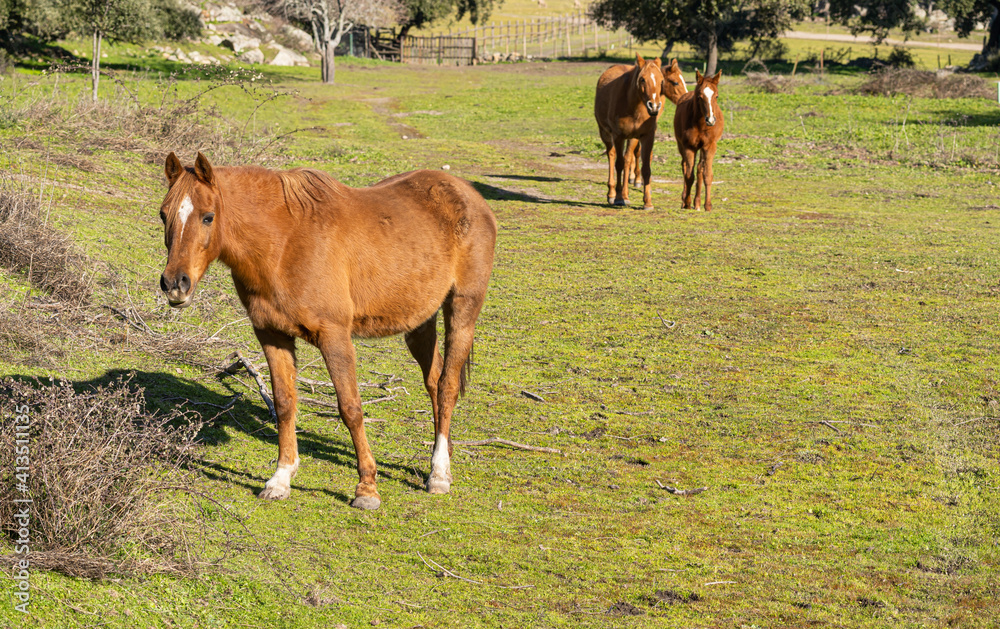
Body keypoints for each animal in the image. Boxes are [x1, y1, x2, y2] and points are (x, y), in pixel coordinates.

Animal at [158, 152, 498, 510]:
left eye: (208, 217)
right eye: (164, 214)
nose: (175, 284)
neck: (284, 243)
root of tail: (469, 195)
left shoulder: (335, 337)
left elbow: (350, 408)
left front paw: (367, 488)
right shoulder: (272, 335)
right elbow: (284, 404)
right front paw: (280, 479)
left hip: (462, 311)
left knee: (447, 386)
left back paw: (439, 474)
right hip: (419, 323)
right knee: (433, 382)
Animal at [592, 51, 664, 209]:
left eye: (662, 80)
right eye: (642, 79)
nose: (654, 107)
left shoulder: (646, 136)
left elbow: (645, 168)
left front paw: (647, 202)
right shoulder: (618, 136)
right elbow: (618, 165)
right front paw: (618, 198)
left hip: (632, 138)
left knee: (627, 159)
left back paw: (625, 195)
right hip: (605, 134)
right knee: (612, 156)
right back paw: (612, 194)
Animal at [672, 70, 728, 210]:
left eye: (716, 96)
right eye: (699, 97)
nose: (711, 120)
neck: (700, 125)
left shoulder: (709, 146)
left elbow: (707, 174)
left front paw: (707, 205)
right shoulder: (689, 147)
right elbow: (689, 176)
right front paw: (687, 203)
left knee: (699, 169)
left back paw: (697, 203)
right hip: (681, 146)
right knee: (685, 167)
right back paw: (685, 201)